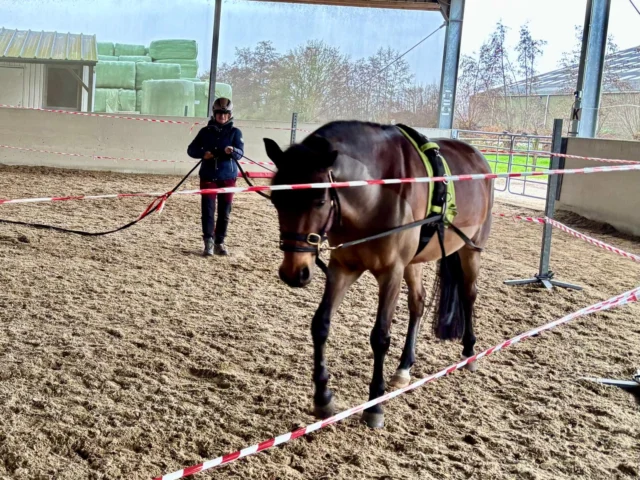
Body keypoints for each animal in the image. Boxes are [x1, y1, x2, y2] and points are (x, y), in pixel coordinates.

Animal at [263, 120, 493, 429]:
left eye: (320, 200)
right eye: (277, 199)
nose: (294, 272)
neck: (375, 194)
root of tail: (477, 156)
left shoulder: (391, 272)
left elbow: (380, 337)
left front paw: (374, 406)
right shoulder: (343, 268)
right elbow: (320, 325)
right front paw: (323, 397)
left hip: (470, 250)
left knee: (468, 295)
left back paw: (469, 352)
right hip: (415, 261)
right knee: (418, 303)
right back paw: (404, 367)